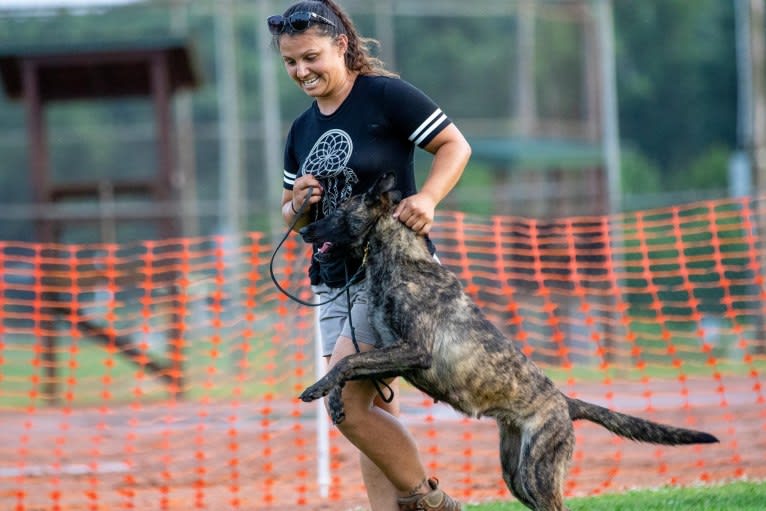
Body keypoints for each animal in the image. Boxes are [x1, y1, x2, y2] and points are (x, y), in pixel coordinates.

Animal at [300, 174, 720, 510]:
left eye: (338, 211)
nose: (304, 230)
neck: (401, 261)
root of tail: (564, 403)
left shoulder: (414, 352)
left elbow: (347, 363)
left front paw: (317, 388)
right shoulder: (391, 355)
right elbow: (349, 366)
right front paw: (332, 397)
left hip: (538, 473)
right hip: (515, 474)